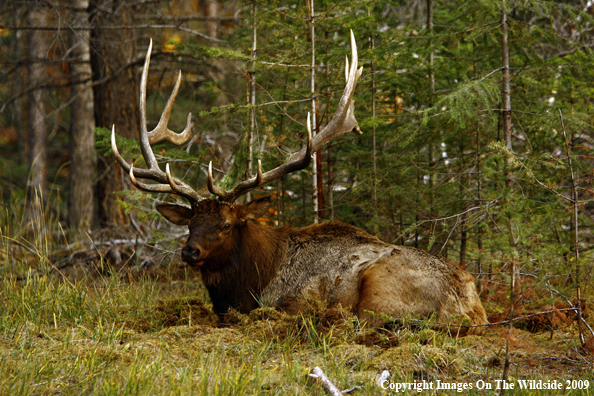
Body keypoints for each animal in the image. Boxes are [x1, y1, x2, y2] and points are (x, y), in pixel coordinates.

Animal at [111, 31, 486, 334]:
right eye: (191, 222)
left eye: (227, 224)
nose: (190, 251)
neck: (251, 281)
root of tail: (469, 303)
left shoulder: (295, 299)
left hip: (378, 286)